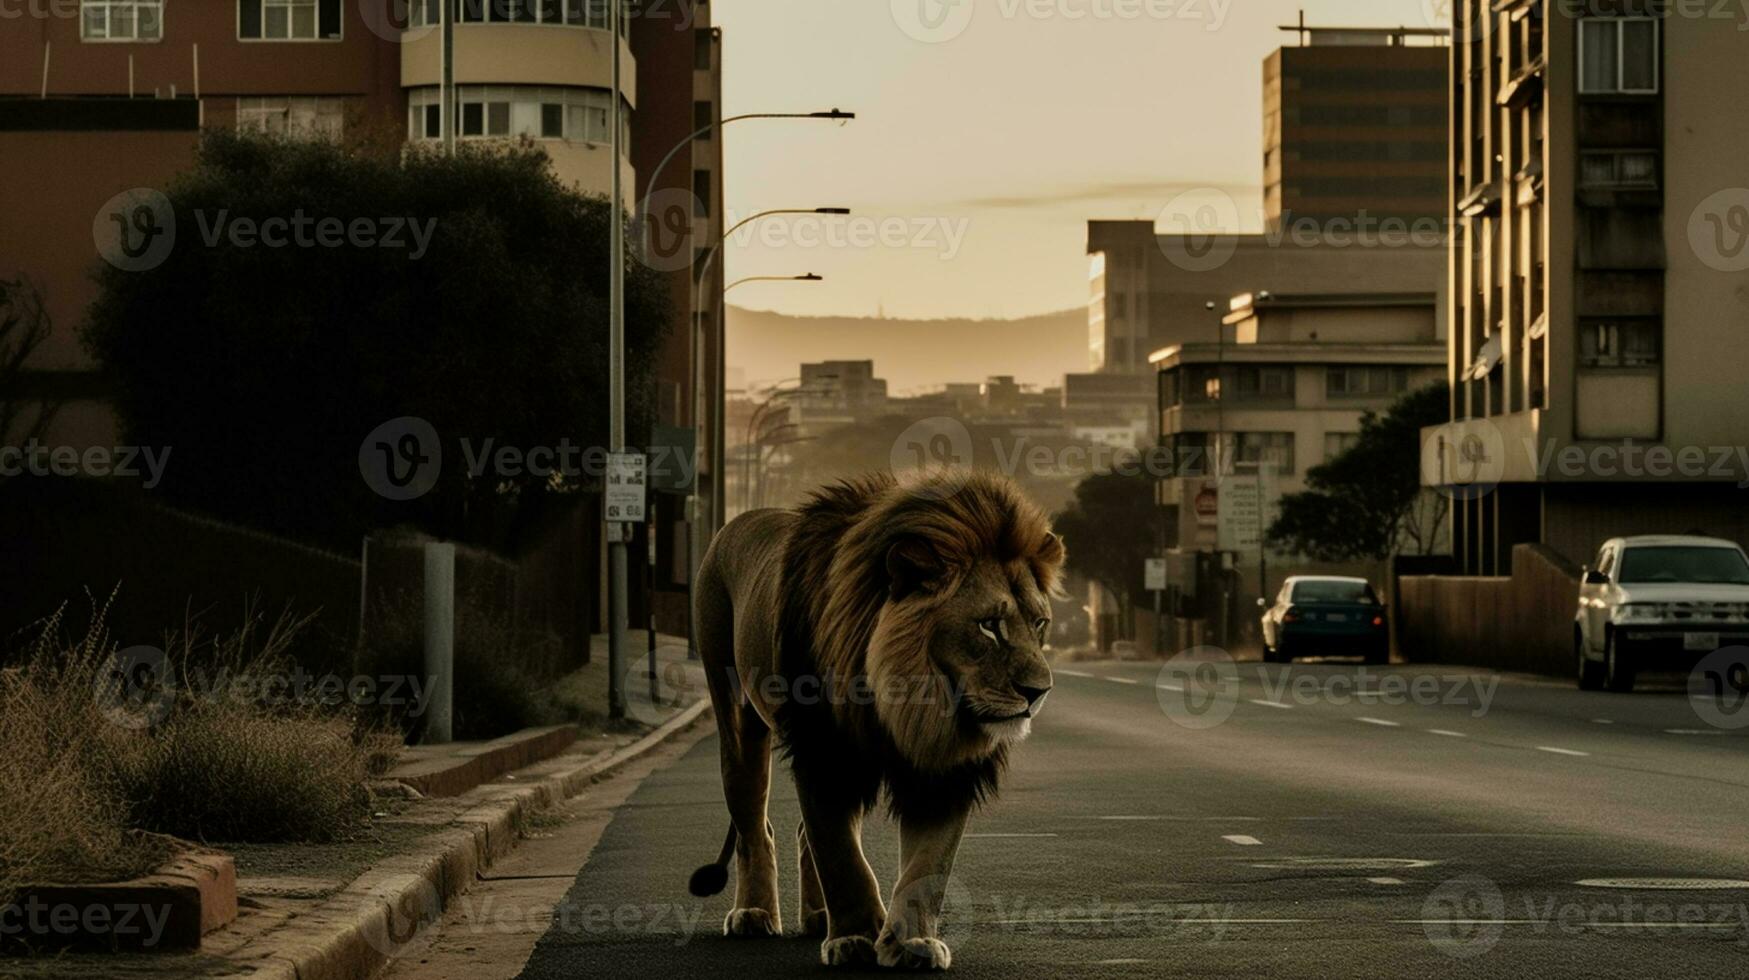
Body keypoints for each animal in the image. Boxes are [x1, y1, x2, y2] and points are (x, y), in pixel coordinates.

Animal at [682, 472, 1063, 966]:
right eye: (988, 625)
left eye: (1039, 624)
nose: (1039, 691)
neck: (913, 706)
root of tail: (731, 526)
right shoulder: (825, 751)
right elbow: (840, 854)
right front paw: (855, 937)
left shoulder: (944, 771)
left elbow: (929, 866)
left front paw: (911, 943)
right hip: (736, 718)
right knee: (753, 824)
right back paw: (753, 914)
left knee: (801, 831)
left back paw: (817, 917)